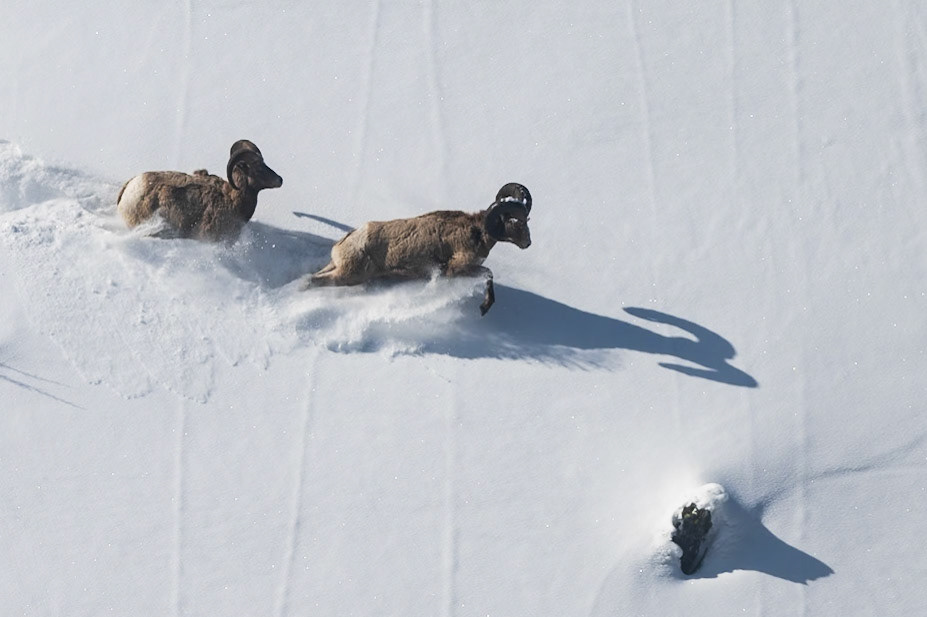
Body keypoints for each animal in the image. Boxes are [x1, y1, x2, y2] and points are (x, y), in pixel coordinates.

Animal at [302, 182, 532, 315]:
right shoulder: (457, 269)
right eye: (516, 222)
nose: (528, 243)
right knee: (314, 282)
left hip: (339, 269)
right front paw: (484, 307)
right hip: (349, 276)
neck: (476, 231)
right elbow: (488, 274)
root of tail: (345, 242)